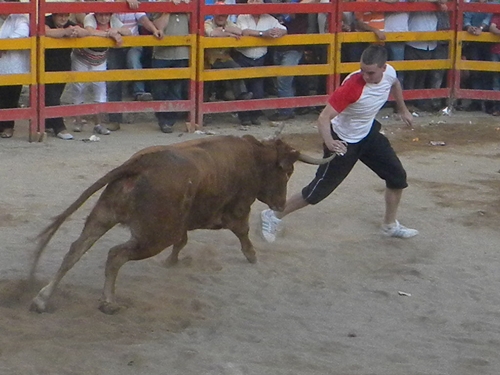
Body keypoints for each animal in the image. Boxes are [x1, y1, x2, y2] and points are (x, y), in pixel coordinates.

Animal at [28, 135, 332, 314]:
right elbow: (242, 232)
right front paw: (252, 255)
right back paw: (108, 302)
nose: (280, 204)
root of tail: (141, 163)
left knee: (76, 249)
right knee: (115, 255)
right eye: (288, 171)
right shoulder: (237, 209)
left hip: (104, 215)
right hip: (152, 237)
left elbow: (182, 240)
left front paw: (172, 261)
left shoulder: (182, 223)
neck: (254, 157)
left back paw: (43, 299)